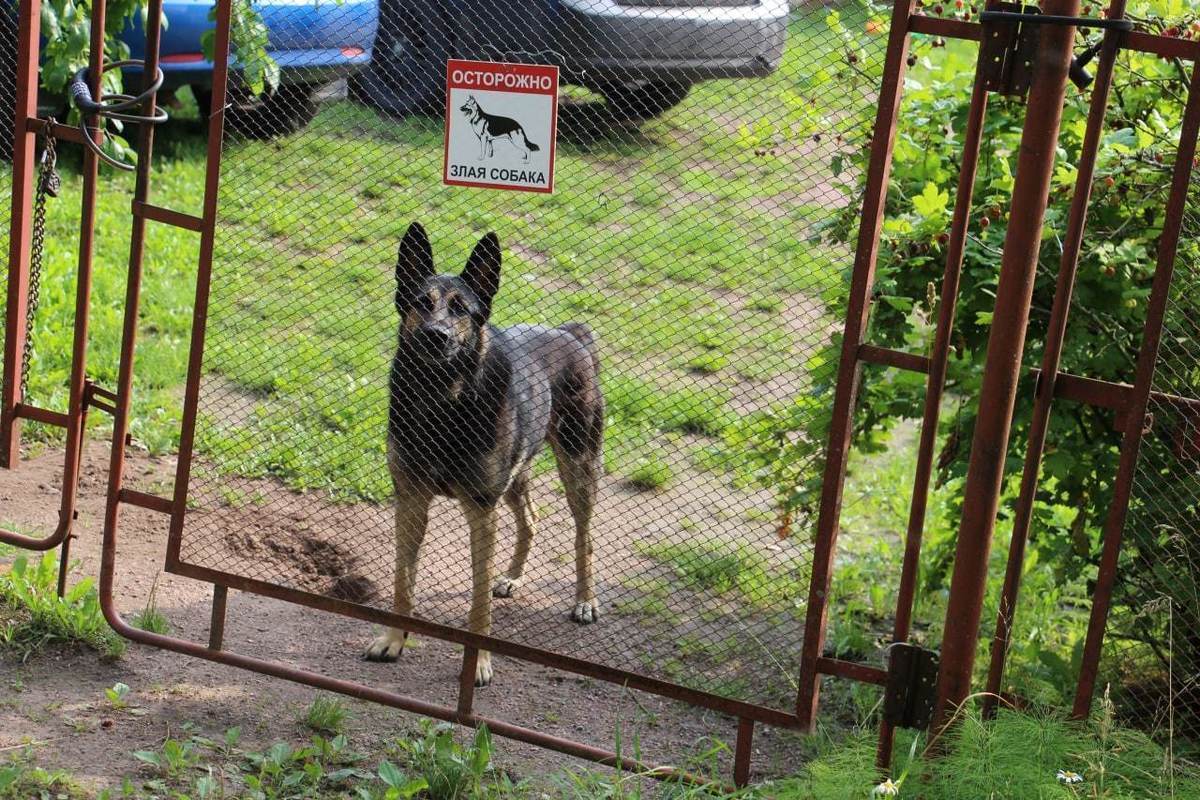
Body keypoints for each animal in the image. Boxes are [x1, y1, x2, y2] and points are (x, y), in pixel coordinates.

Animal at [362, 221, 609, 686]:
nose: (436, 336)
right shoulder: (411, 501)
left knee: (584, 536)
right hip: (516, 477)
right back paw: (512, 577)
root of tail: (572, 333)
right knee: (530, 518)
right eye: (422, 303)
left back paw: (585, 601)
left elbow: (478, 603)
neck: (442, 401)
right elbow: (403, 580)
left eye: (461, 310)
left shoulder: (481, 510)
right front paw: (394, 640)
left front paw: (478, 663)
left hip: (578, 467)